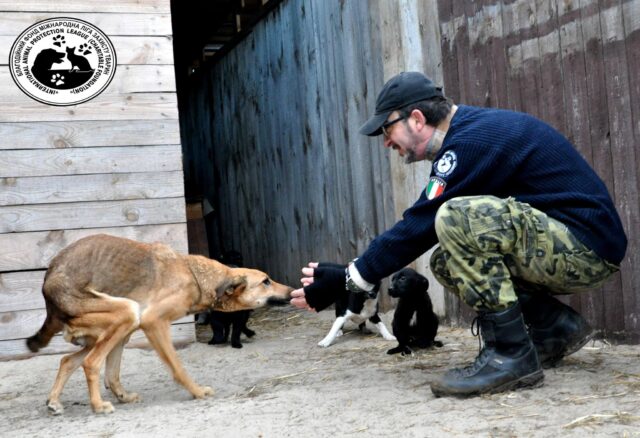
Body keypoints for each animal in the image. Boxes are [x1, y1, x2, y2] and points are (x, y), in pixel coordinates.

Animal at [26, 233, 292, 414]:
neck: (195, 275)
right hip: (127, 313)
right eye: (266, 281)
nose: (291, 290)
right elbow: (178, 367)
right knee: (91, 363)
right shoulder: (155, 323)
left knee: (74, 362)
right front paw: (196, 392)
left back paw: (64, 400)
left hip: (122, 329)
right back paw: (99, 405)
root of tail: (48, 280)